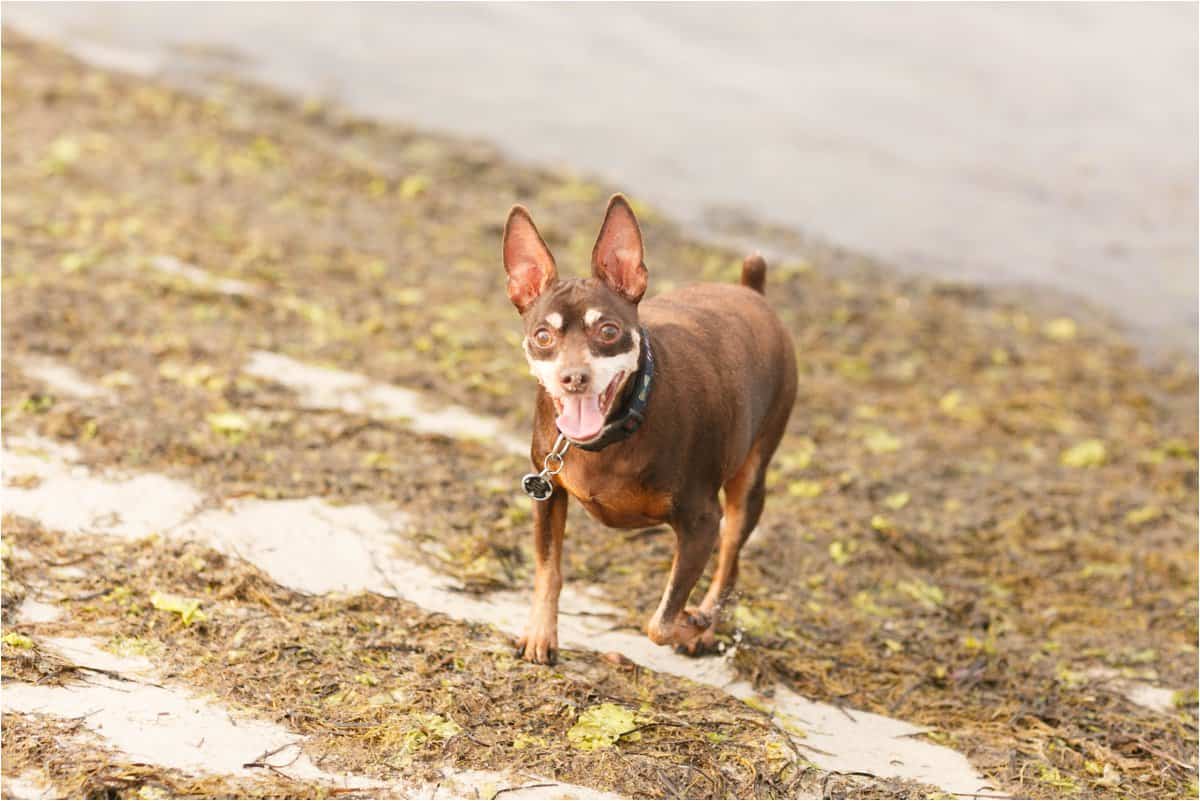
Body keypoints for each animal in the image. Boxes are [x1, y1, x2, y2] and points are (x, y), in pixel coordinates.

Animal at [504, 194, 796, 661]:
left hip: (749, 482)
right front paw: (540, 634)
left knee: (730, 563)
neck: (614, 433)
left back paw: (706, 625)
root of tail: (751, 289)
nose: (573, 377)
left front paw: (692, 624)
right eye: (543, 336)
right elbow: (549, 570)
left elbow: (659, 622)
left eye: (608, 331)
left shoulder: (702, 523)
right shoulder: (547, 495)